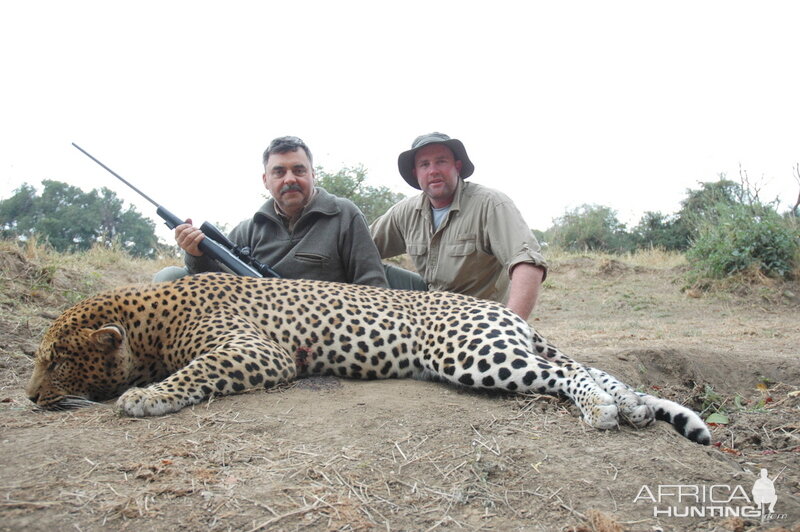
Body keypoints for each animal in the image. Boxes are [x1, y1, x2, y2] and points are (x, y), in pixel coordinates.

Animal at [26, 270, 712, 444]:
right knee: (585, 368)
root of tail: (506, 313)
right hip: (495, 350)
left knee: (568, 373)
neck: (148, 322)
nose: (29, 398)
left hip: (473, 352)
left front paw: (145, 397)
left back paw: (603, 411)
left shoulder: (257, 350)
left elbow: (196, 371)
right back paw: (635, 409)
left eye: (57, 360)